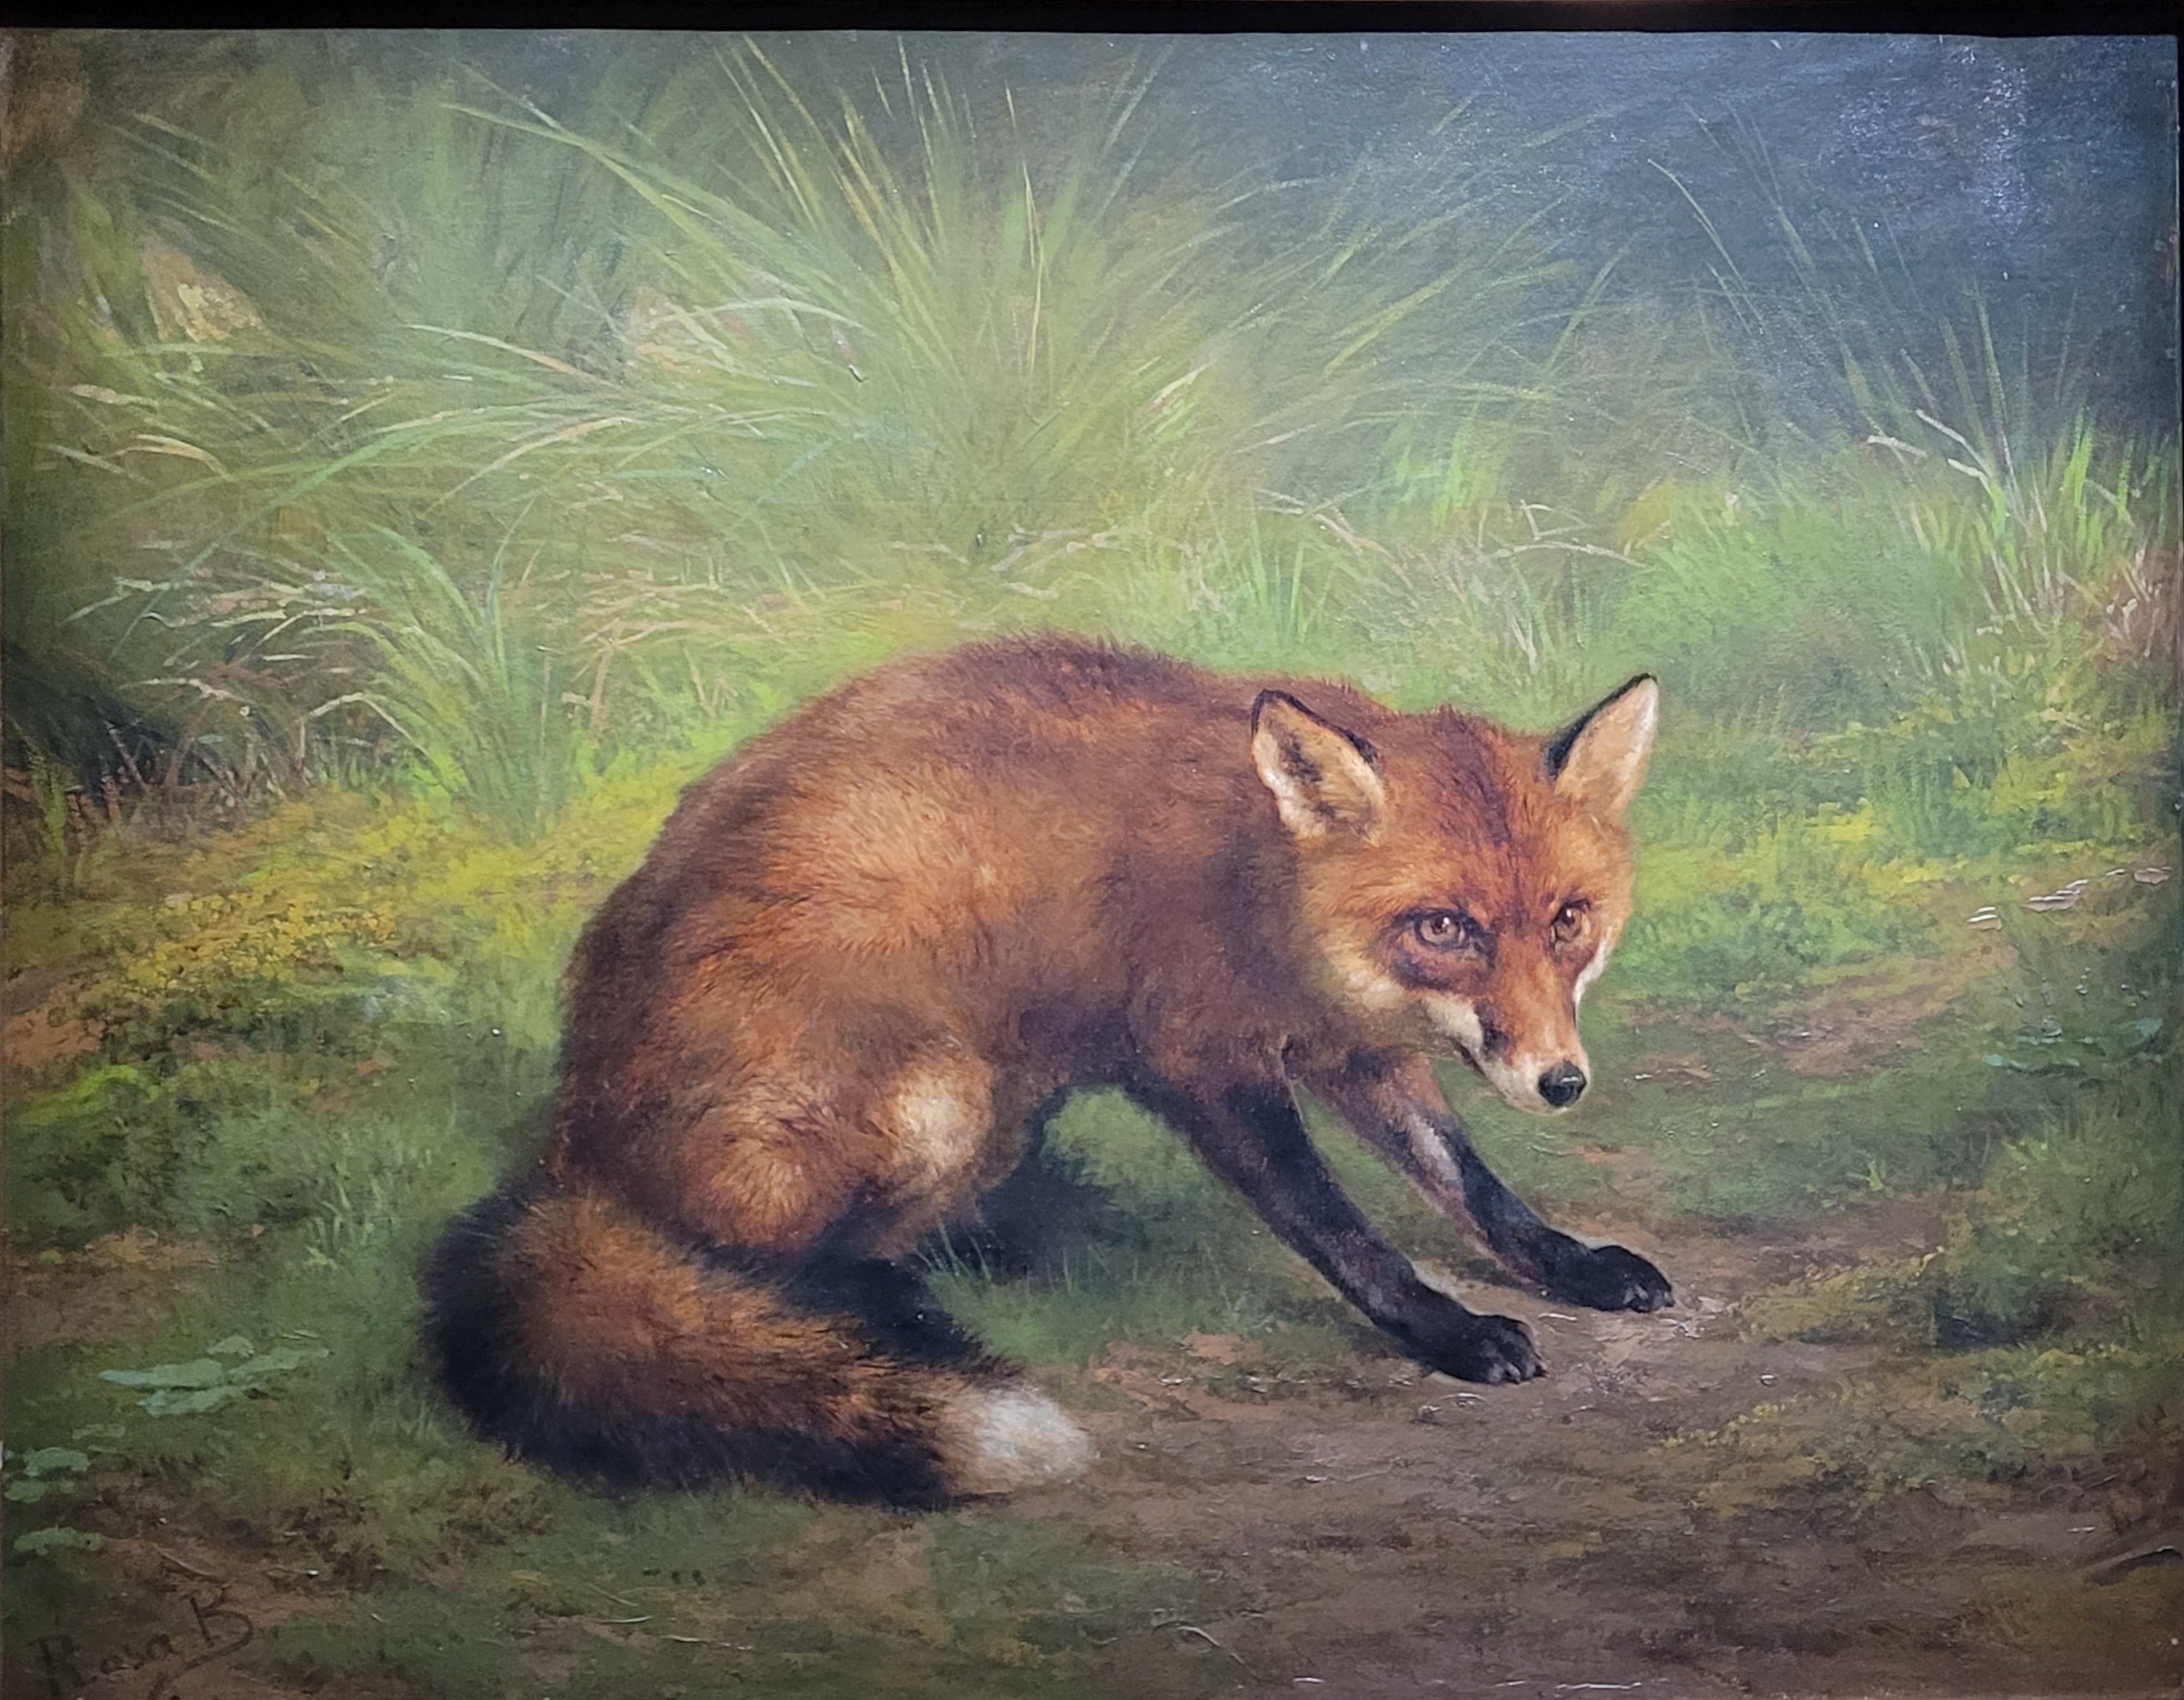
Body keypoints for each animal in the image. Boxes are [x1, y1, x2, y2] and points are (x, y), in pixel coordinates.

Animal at [423, 635, 1669, 1506]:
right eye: (1445, 927)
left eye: (1568, 920)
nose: (1561, 1082)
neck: (1266, 888)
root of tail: (570, 1146)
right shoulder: (1202, 1060)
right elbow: (1342, 1231)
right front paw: (1447, 1331)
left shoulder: (1352, 1048)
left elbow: (1471, 1184)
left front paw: (1571, 1266)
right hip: (939, 1088)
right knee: (758, 1260)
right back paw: (885, 1316)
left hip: (1002, 1106)